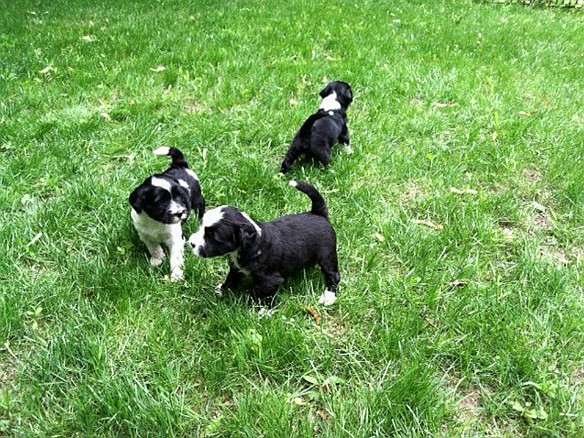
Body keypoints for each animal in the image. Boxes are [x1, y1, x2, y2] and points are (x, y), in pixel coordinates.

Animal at [129, 147, 205, 280]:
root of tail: (180, 165)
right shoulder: (144, 234)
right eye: (161, 201)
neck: (155, 221)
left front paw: (176, 276)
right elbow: (153, 247)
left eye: (180, 196)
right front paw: (157, 259)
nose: (180, 213)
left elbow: (175, 258)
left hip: (198, 200)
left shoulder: (175, 238)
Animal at [189, 181, 340, 304]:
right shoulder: (236, 267)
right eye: (201, 226)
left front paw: (264, 311)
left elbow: (266, 297)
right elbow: (231, 278)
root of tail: (318, 213)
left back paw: (328, 297)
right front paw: (223, 289)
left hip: (327, 255)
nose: (191, 243)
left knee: (333, 275)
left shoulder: (270, 281)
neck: (251, 245)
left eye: (212, 237)